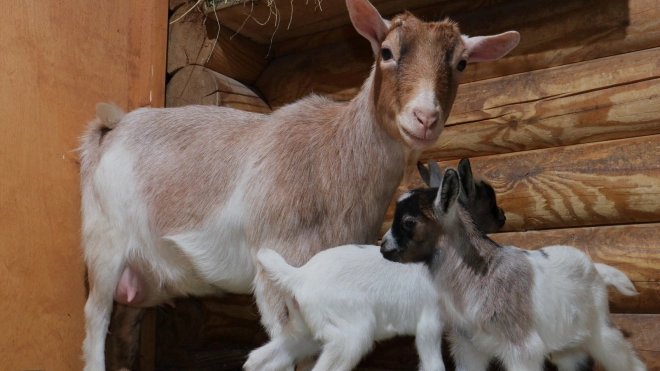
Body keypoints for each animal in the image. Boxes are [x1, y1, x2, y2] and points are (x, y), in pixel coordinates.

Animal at [78, 0, 520, 370]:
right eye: (386, 52)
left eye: (461, 63)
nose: (425, 117)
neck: (334, 156)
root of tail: (109, 130)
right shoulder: (276, 265)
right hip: (104, 242)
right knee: (95, 319)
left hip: (146, 276)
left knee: (125, 332)